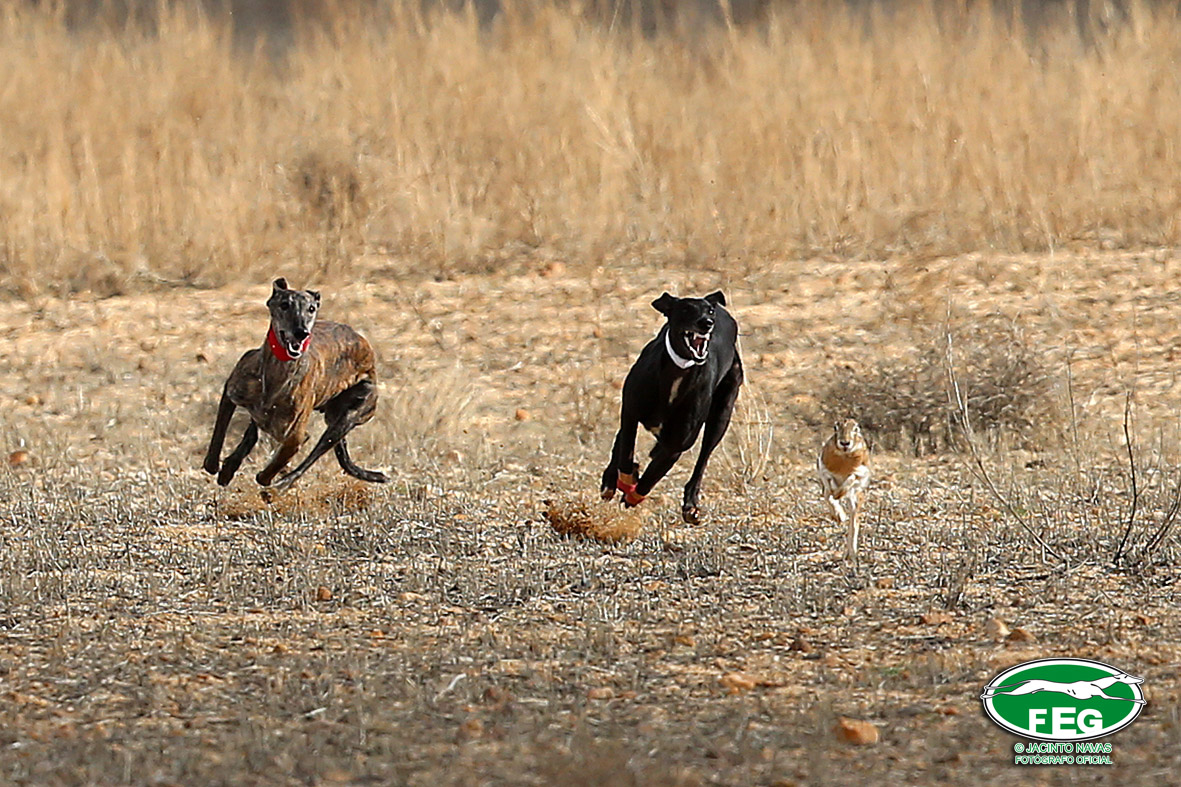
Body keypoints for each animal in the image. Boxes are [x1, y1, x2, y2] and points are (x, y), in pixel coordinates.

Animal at [600, 291, 743, 523]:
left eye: (709, 311)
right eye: (685, 309)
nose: (707, 323)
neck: (678, 373)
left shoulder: (677, 444)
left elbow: (652, 475)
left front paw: (632, 495)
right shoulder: (630, 412)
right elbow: (626, 452)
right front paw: (624, 479)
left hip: (721, 416)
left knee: (702, 459)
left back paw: (691, 504)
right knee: (621, 443)